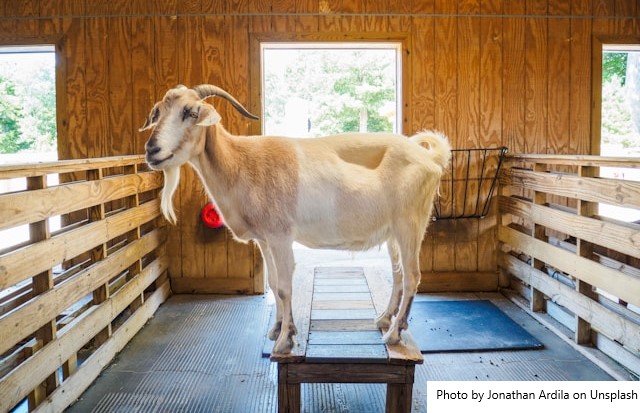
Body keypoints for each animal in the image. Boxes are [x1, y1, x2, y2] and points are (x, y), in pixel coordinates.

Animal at [140, 84, 451, 354]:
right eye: (158, 112)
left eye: (191, 112)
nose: (152, 150)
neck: (241, 163)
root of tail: (430, 157)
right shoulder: (264, 240)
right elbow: (274, 284)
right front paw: (279, 329)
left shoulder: (281, 237)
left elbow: (284, 287)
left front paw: (284, 342)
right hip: (392, 233)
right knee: (398, 274)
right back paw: (384, 319)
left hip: (410, 224)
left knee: (412, 277)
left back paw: (394, 333)